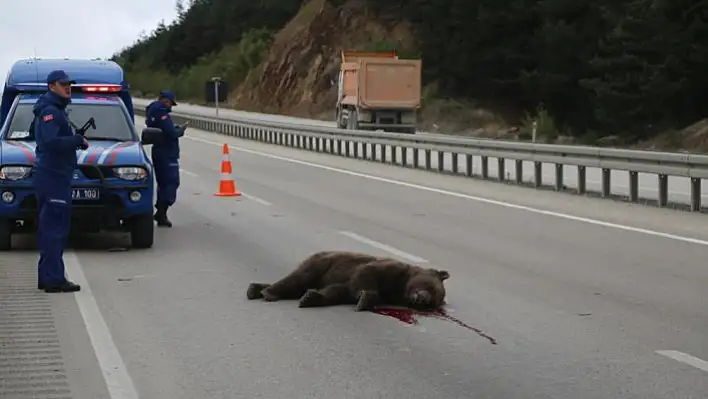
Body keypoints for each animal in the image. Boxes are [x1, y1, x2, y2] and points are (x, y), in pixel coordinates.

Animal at [246, 250, 450, 312]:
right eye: (431, 287)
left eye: (433, 302)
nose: (422, 299)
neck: (401, 288)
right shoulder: (388, 270)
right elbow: (366, 275)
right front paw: (365, 299)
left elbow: (336, 292)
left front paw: (311, 298)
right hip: (322, 262)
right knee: (298, 278)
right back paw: (267, 292)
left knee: (300, 285)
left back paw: (257, 288)